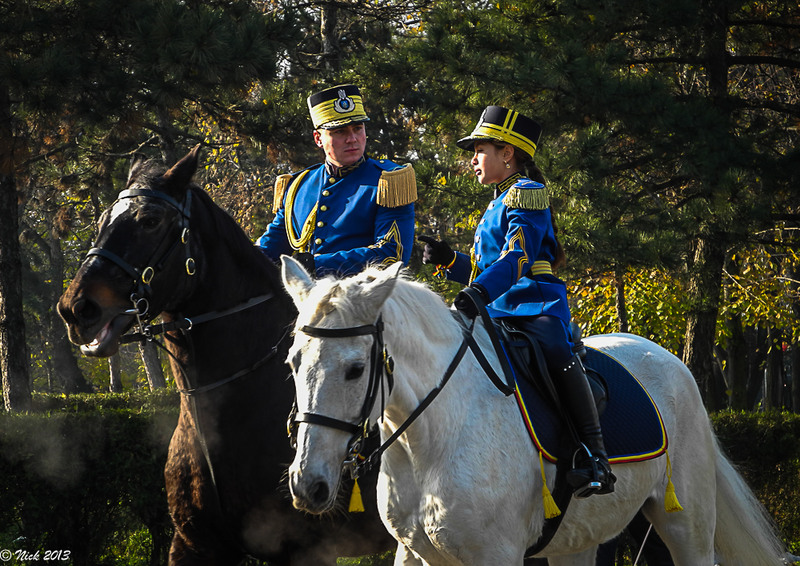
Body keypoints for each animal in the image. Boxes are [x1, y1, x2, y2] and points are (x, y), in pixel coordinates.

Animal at [279, 256, 787, 566]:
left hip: (687, 526)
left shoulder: (495, 554)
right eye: (293, 362)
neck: (433, 441)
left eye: (355, 369)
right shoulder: (415, 554)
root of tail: (668, 359)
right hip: (578, 540)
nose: (308, 485)